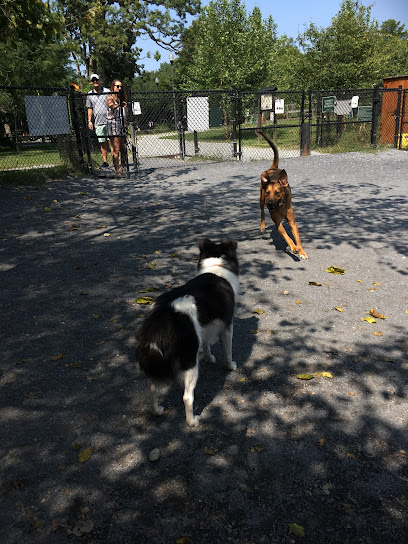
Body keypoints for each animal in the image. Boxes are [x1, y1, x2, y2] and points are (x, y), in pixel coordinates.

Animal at [137, 240, 239, 428]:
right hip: (190, 362)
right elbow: (228, 351)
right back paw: (192, 421)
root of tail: (161, 321)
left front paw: (209, 357)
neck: (215, 266)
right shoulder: (228, 325)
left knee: (153, 388)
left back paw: (157, 410)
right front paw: (230, 366)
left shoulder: (204, 327)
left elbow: (206, 344)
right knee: (187, 397)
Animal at [260, 131, 308, 260]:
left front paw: (301, 251)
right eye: (268, 192)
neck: (280, 205)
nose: (269, 204)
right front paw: (294, 248)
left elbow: (297, 238)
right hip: (261, 199)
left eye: (277, 192)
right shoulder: (278, 223)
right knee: (262, 212)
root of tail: (273, 168)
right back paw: (262, 225)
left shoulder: (292, 222)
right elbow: (287, 237)